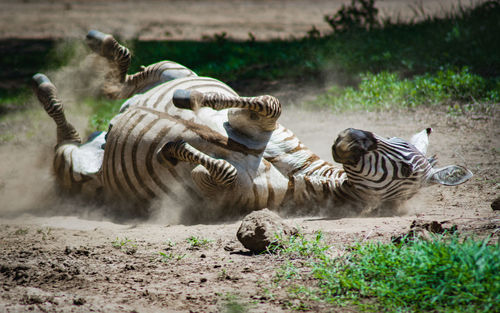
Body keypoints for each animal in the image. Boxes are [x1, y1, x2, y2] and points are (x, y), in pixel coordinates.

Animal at [32, 29, 472, 219]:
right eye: (389, 136)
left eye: (406, 170)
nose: (352, 136)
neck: (298, 174)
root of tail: (100, 136)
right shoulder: (263, 124)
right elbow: (269, 103)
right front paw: (191, 102)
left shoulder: (215, 197)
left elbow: (222, 170)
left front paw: (177, 147)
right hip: (175, 69)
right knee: (125, 79)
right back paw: (94, 48)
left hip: (76, 171)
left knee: (66, 133)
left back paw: (46, 88)